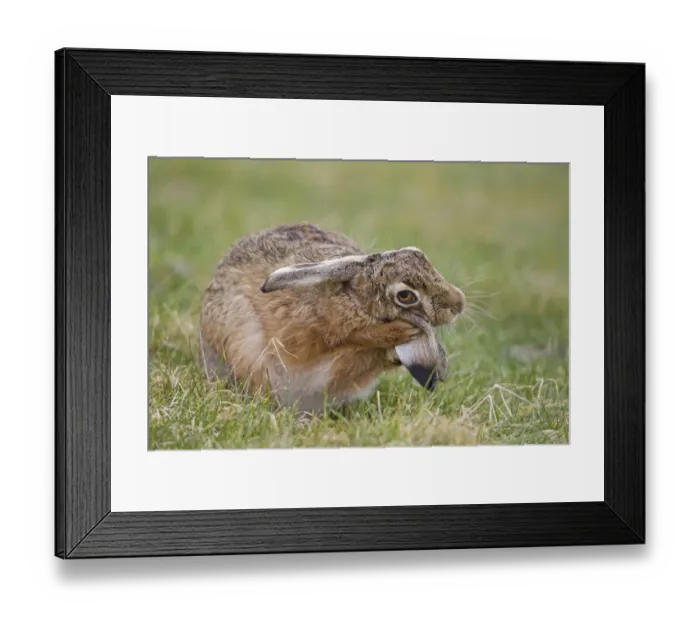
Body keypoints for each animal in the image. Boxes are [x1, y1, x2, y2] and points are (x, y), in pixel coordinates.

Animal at [198, 223, 466, 413]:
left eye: (418, 253)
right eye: (406, 295)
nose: (459, 304)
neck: (357, 301)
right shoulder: (303, 333)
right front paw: (398, 332)